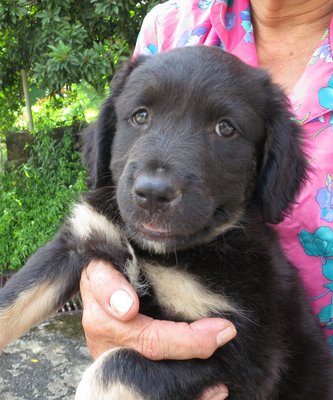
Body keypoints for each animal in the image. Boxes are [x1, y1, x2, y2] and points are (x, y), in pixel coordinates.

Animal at [0, 46, 332, 396]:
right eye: (140, 116)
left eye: (225, 128)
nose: (153, 193)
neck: (154, 251)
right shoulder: (78, 240)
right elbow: (12, 300)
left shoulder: (238, 346)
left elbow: (113, 367)